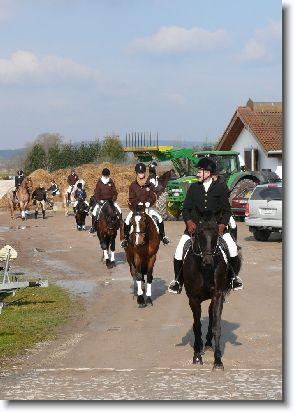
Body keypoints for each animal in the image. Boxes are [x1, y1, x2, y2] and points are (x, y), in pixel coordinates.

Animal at [181, 214, 234, 372]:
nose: (208, 262)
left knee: (211, 315)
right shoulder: (193, 299)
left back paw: (209, 344)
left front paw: (218, 361)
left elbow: (217, 326)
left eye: (216, 234)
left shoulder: (218, 295)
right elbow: (196, 326)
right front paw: (197, 356)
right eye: (200, 234)